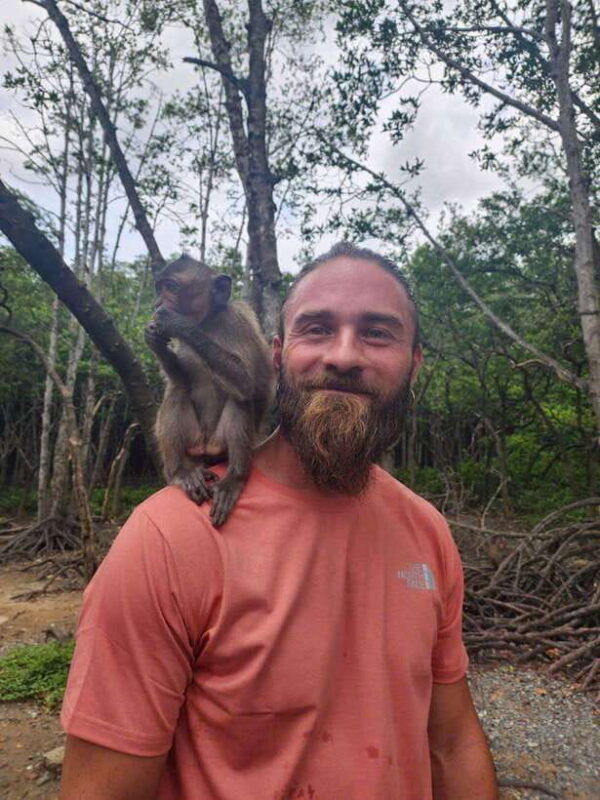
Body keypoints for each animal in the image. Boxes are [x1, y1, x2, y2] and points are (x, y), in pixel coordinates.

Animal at [144, 255, 274, 526]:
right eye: (159, 287)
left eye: (171, 287)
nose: (157, 303)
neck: (207, 323)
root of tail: (206, 445)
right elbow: (180, 379)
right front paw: (152, 337)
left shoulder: (236, 322)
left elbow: (246, 382)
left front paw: (176, 322)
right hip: (193, 440)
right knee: (178, 390)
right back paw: (180, 473)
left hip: (219, 443)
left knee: (240, 398)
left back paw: (235, 478)